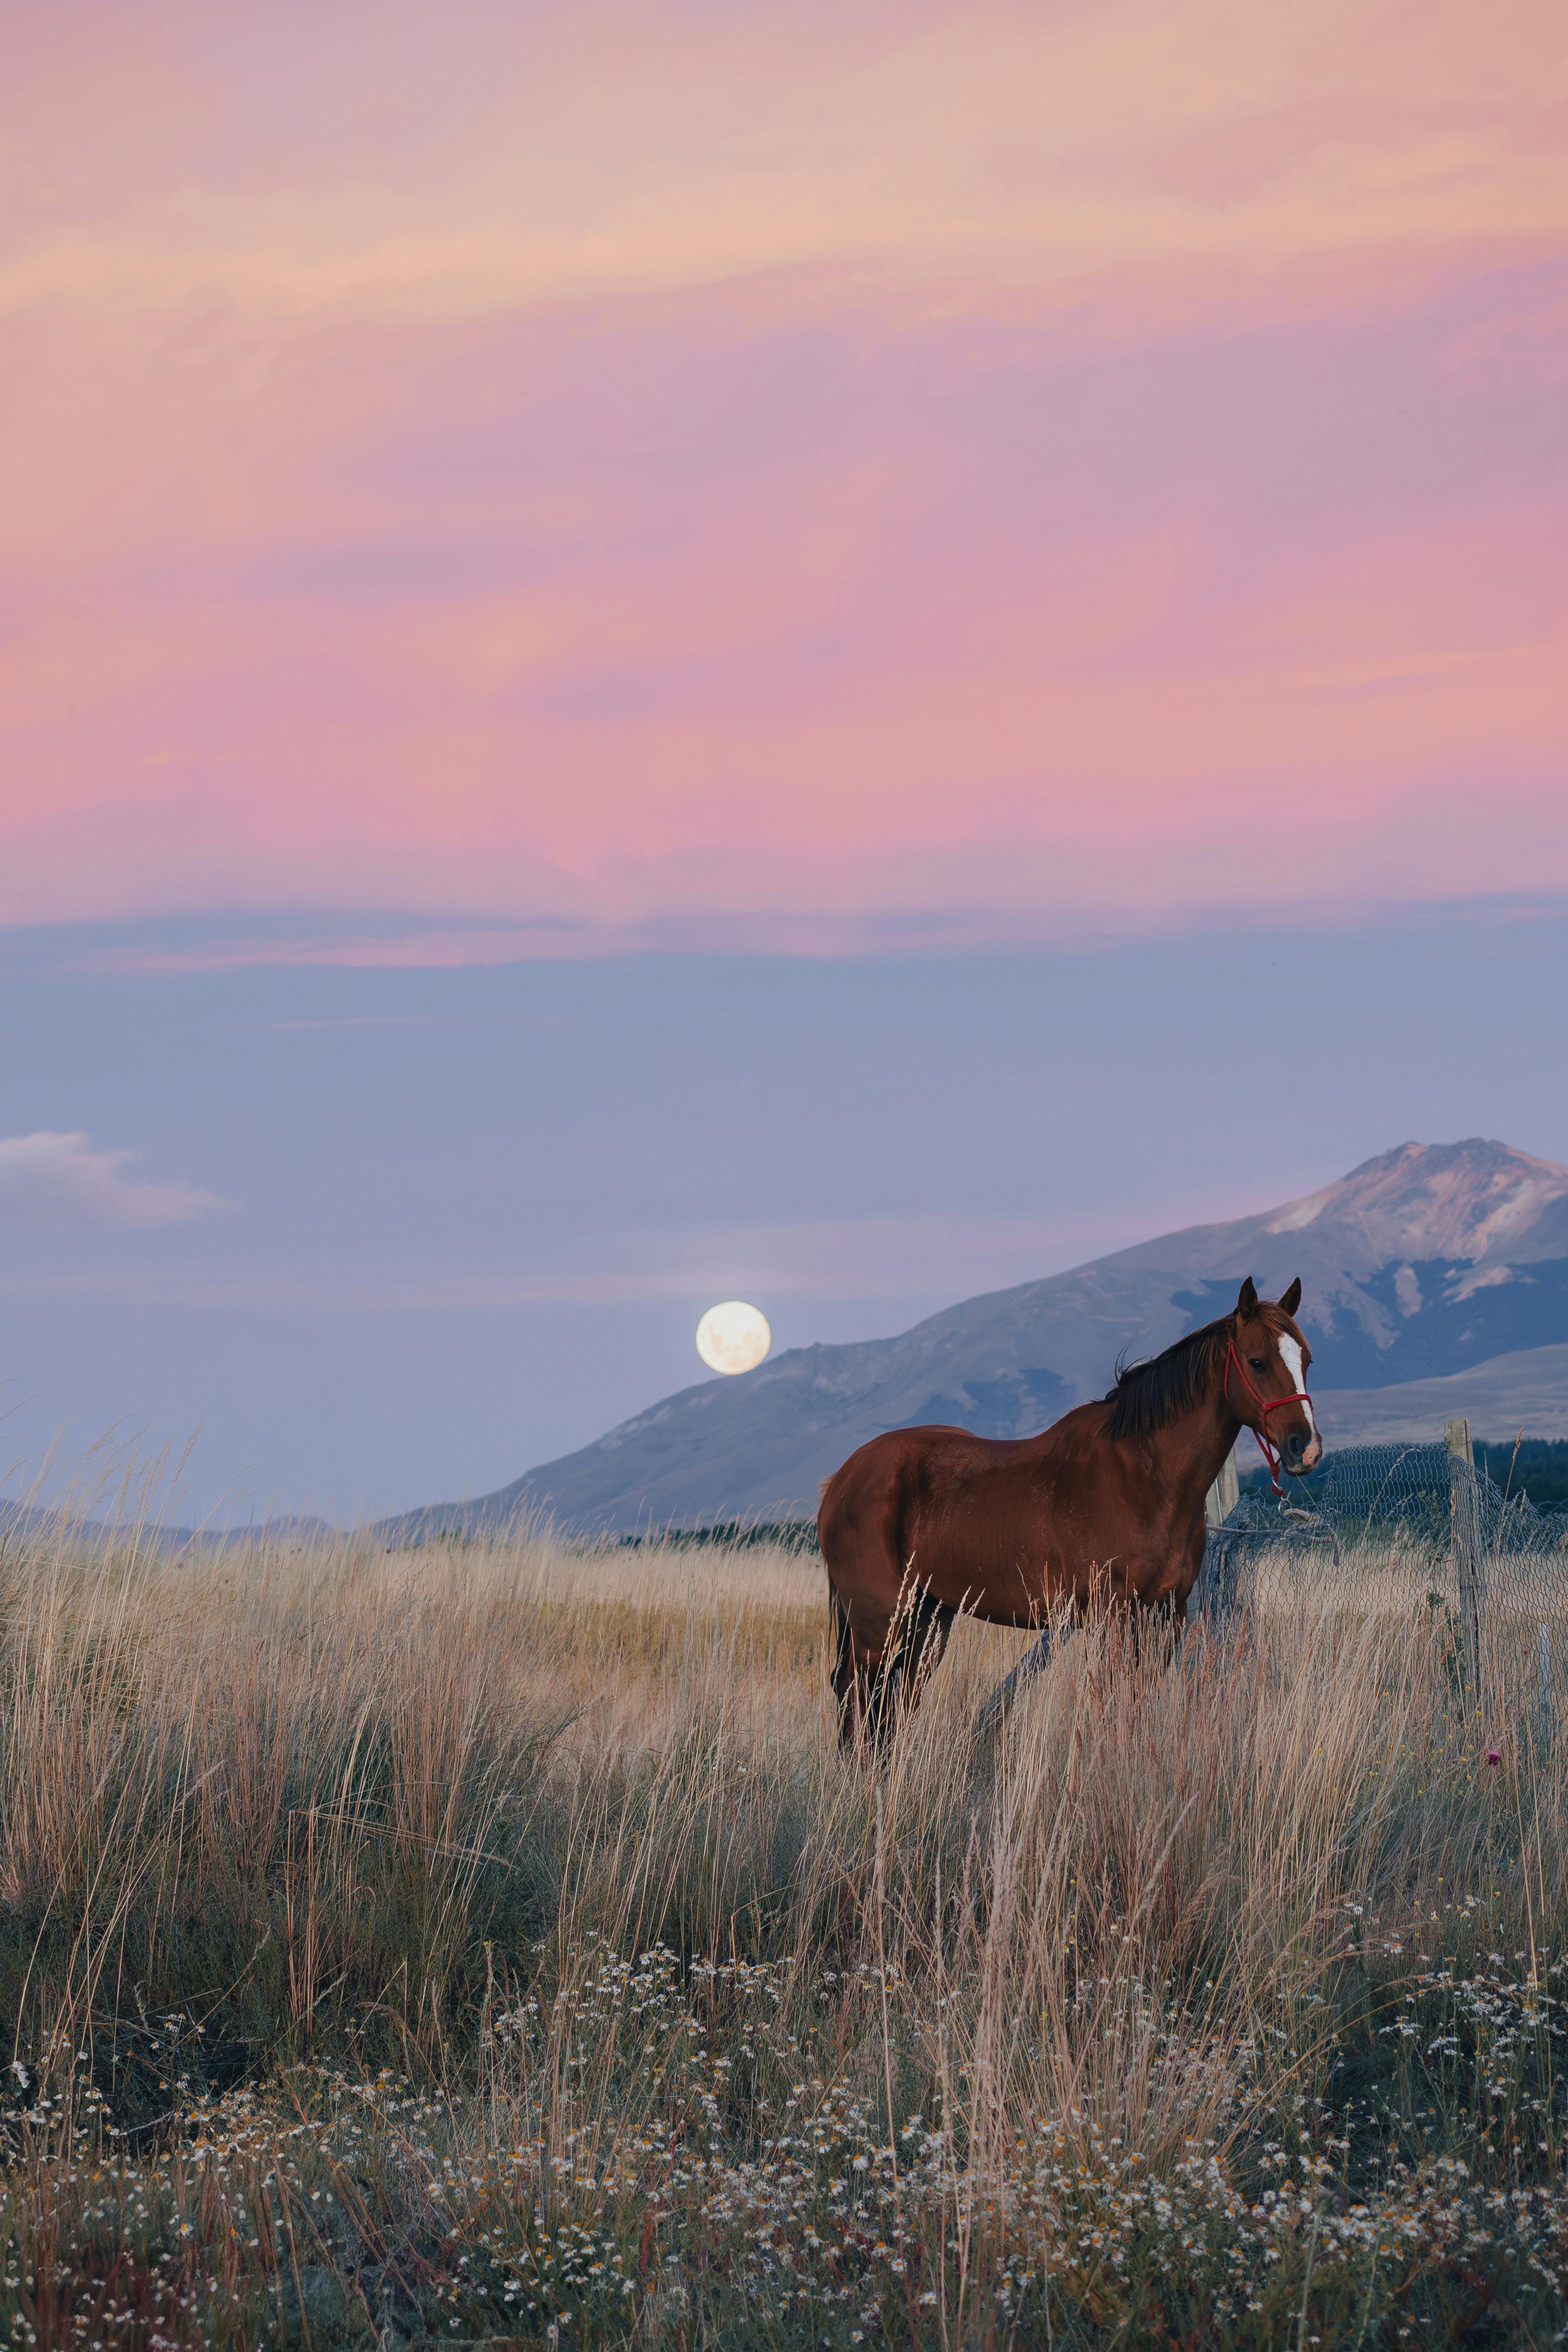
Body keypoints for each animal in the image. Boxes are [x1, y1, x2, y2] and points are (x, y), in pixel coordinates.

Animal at [818, 1276, 1321, 1748]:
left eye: (1307, 1361)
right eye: (1257, 1362)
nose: (1305, 1448)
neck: (1144, 1478)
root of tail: (842, 1479)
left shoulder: (1166, 1616)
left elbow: (1139, 1702)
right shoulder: (1112, 1619)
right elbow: (1116, 1707)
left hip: (928, 1618)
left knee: (896, 1700)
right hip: (877, 1623)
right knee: (858, 1696)